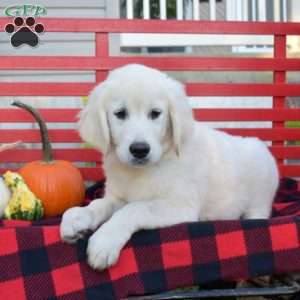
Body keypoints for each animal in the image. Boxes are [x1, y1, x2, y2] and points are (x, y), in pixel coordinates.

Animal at [59, 64, 278, 270]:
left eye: (155, 114)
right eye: (120, 114)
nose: (139, 150)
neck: (143, 170)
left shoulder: (180, 205)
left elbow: (134, 209)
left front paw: (104, 241)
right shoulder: (118, 197)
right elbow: (99, 205)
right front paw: (78, 217)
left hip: (259, 195)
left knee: (258, 212)